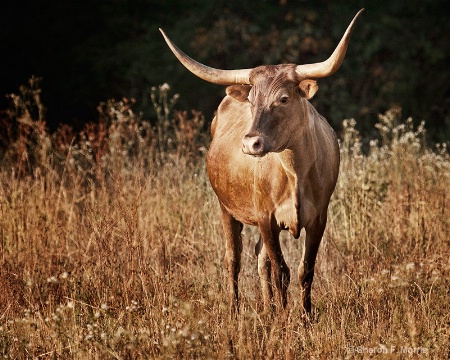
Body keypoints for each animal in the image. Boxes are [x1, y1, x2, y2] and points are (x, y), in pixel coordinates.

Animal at [160, 9, 364, 316]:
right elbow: (282, 271)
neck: (295, 173)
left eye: (284, 99)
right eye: (252, 101)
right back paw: (236, 309)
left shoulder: (319, 217)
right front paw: (285, 317)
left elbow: (305, 270)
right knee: (234, 258)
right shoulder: (267, 217)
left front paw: (305, 316)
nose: (250, 143)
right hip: (226, 208)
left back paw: (268, 308)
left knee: (259, 258)